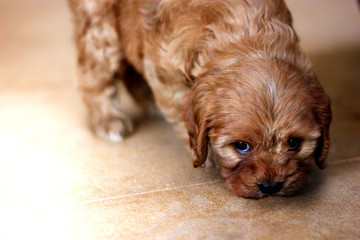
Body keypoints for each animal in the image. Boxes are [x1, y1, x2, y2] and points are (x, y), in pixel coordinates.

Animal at [67, 0, 332, 198]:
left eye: (294, 143)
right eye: (241, 146)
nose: (270, 186)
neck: (248, 35)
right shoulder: (165, 70)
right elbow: (180, 110)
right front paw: (205, 156)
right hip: (100, 28)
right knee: (94, 77)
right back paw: (108, 120)